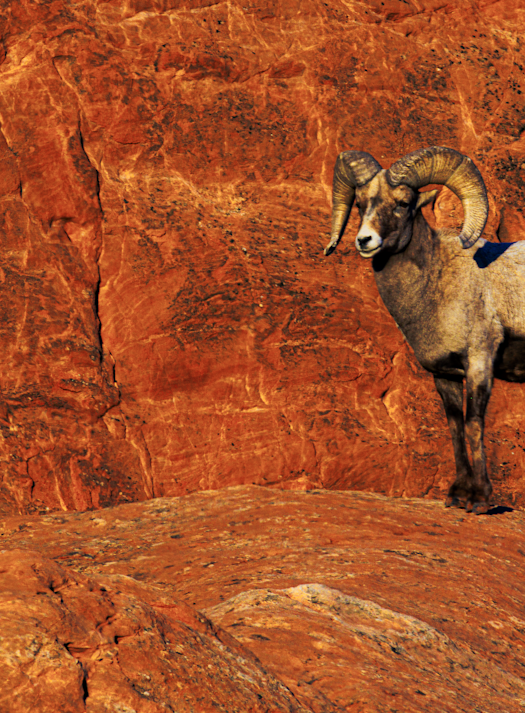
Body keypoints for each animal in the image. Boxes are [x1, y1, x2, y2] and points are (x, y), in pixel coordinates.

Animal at [324, 145, 525, 514]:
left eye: (404, 203)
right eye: (360, 204)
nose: (365, 240)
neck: (438, 283)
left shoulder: (479, 363)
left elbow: (474, 424)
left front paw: (480, 500)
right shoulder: (444, 374)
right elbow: (455, 427)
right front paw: (457, 496)